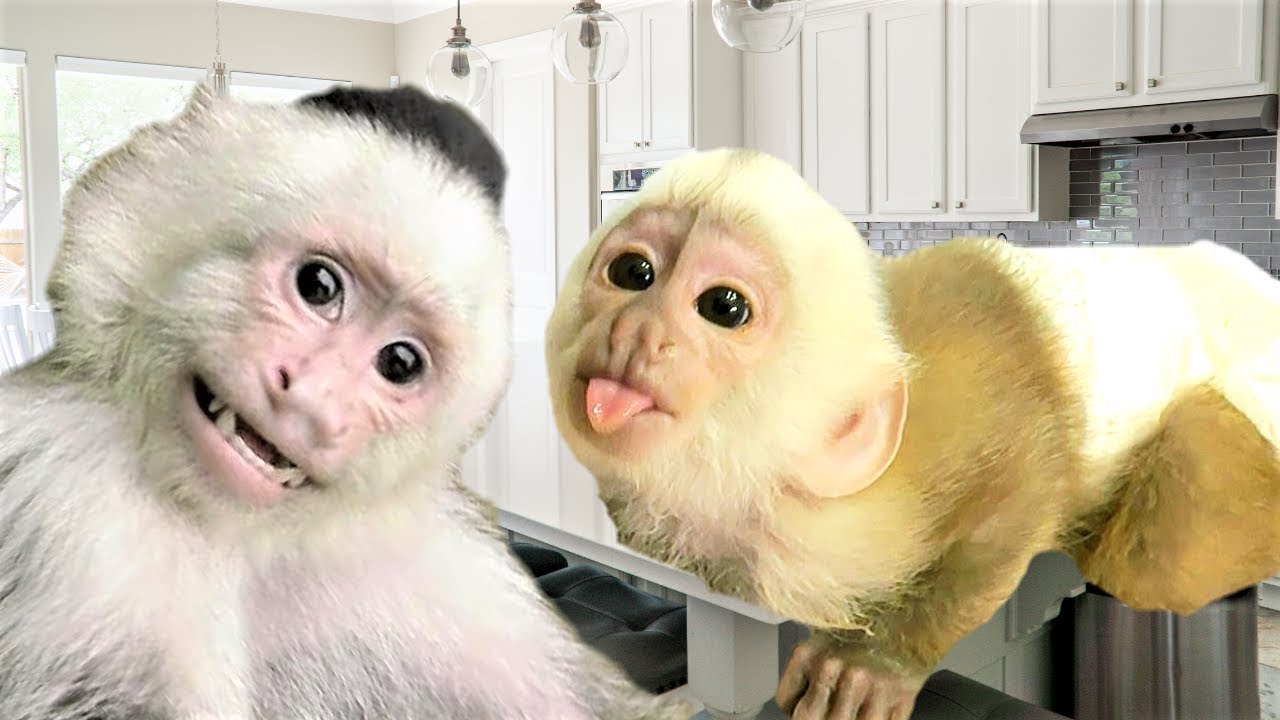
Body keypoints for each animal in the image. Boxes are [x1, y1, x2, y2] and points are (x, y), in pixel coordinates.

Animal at [0, 83, 692, 720]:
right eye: (317, 285)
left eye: (400, 362)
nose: (311, 400)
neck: (245, 539)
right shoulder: (69, 488)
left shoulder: (449, 571)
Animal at [543, 147, 1280, 720]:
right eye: (633, 272)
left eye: (722, 307)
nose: (637, 329)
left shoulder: (962, 420)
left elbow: (1024, 496)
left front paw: (878, 658)